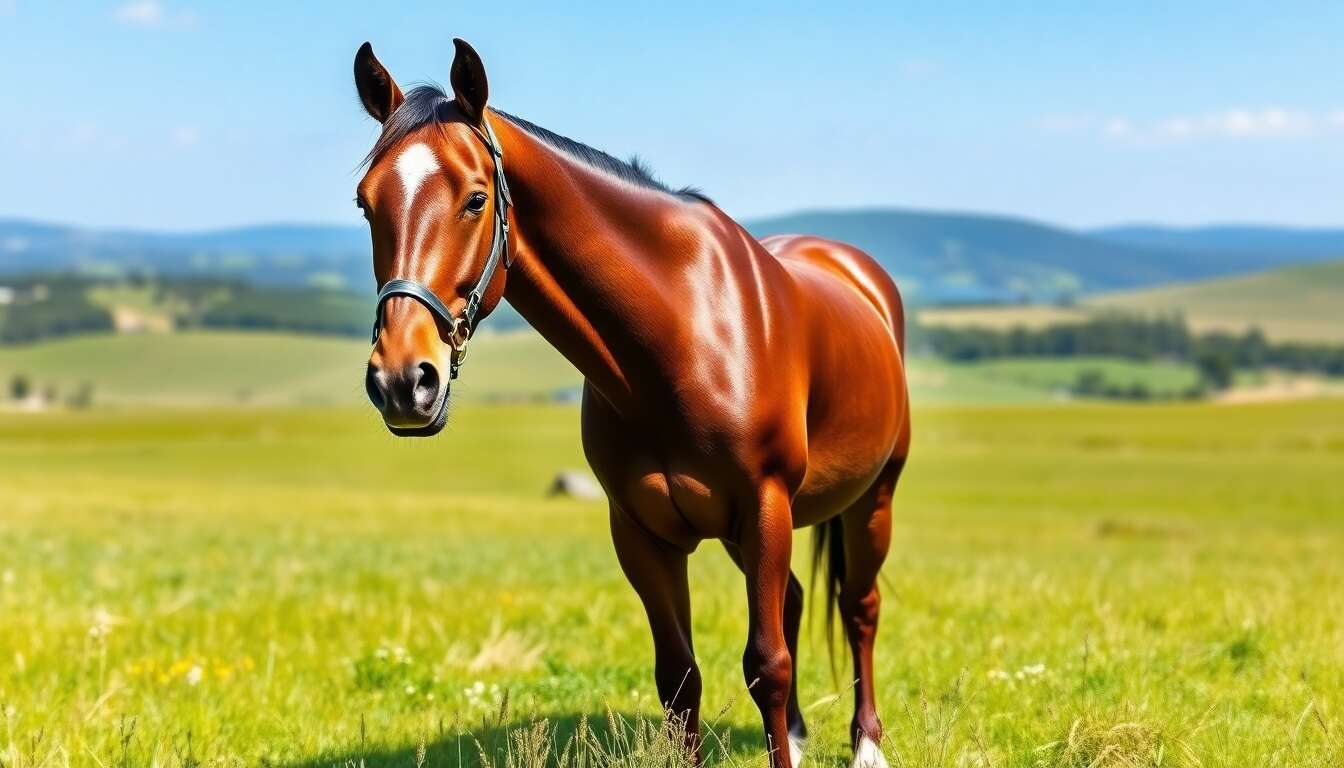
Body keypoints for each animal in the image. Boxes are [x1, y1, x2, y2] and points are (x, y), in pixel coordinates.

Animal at [353, 39, 911, 768]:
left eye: (475, 199)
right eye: (366, 204)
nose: (401, 381)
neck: (682, 333)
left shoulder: (766, 505)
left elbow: (768, 664)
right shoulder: (642, 531)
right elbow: (679, 676)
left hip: (871, 500)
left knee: (859, 608)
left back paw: (867, 743)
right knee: (792, 599)